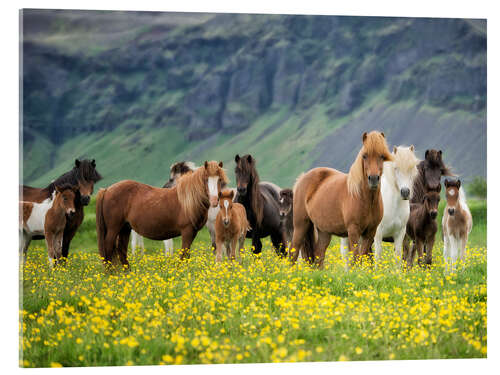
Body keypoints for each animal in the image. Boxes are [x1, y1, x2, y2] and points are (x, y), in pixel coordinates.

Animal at [96, 162, 229, 268]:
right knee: (108, 249)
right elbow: (184, 253)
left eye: (219, 180)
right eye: (206, 179)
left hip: (125, 228)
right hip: (114, 229)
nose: (214, 201)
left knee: (121, 250)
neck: (188, 199)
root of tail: (107, 190)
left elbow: (187, 254)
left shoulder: (193, 232)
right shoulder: (187, 231)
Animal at [290, 131, 394, 268]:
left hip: (324, 231)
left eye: (382, 156)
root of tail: (301, 179)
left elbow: (363, 256)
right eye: (364, 156)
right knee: (293, 251)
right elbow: (355, 257)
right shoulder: (353, 230)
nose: (373, 179)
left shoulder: (370, 232)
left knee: (319, 254)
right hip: (300, 225)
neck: (364, 199)